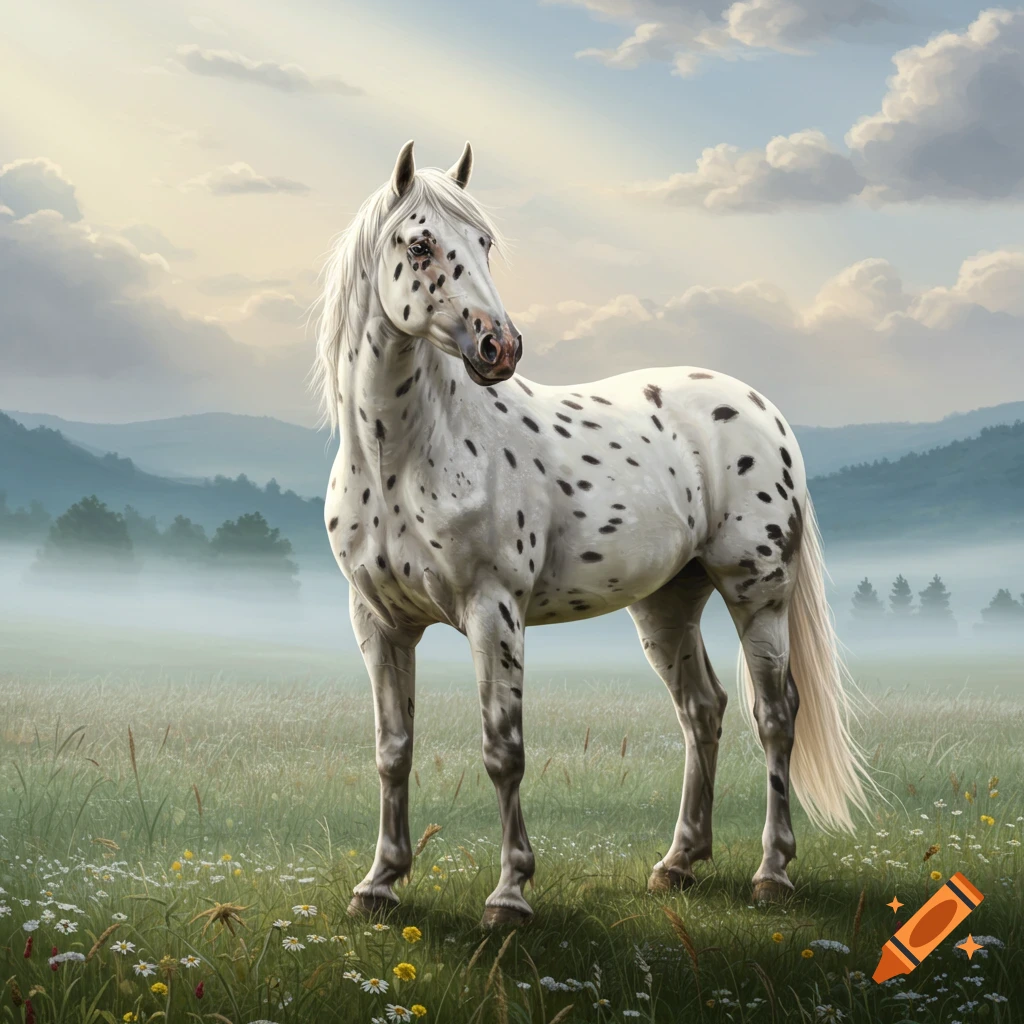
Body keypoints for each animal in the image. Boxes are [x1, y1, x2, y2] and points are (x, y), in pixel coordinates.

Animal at [313, 140, 872, 928]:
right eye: (419, 244)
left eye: (483, 242)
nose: (500, 346)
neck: (406, 454)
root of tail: (761, 406)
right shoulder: (380, 622)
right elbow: (393, 750)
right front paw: (379, 885)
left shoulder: (494, 612)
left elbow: (503, 750)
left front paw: (510, 895)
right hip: (668, 603)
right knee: (702, 711)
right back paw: (678, 864)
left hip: (758, 593)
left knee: (775, 716)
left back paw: (772, 873)